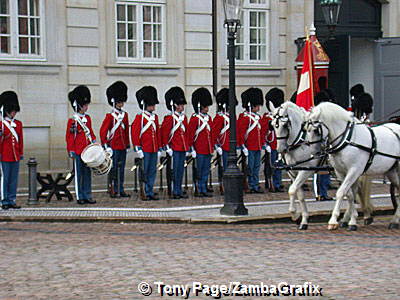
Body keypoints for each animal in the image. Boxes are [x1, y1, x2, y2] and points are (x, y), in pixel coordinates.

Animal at [306, 102, 400, 231]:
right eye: (306, 129)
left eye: (316, 130)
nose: (313, 153)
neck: (347, 139)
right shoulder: (340, 172)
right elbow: (349, 194)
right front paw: (352, 220)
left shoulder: (354, 170)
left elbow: (341, 192)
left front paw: (333, 221)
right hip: (392, 171)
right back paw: (395, 220)